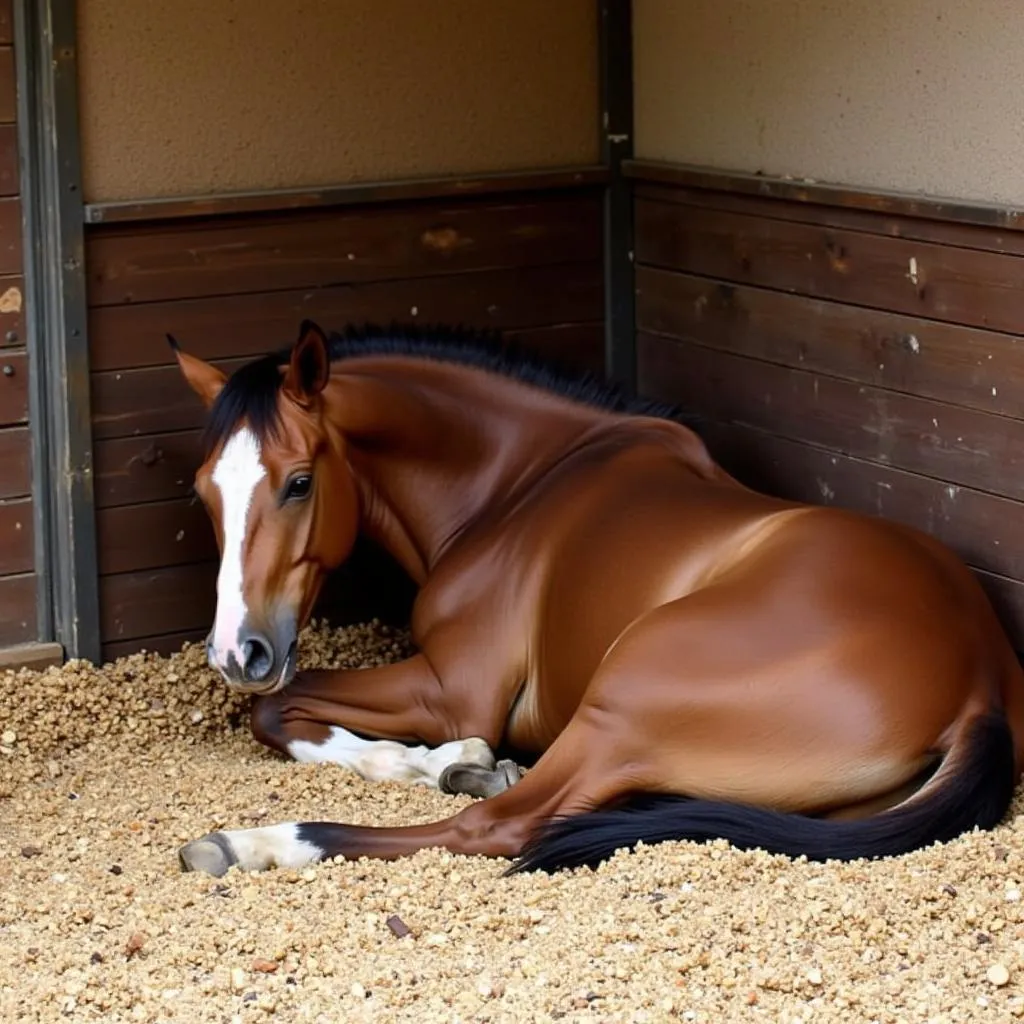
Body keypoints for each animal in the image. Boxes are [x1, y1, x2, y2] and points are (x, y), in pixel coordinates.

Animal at [169, 321, 1024, 880]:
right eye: (205, 488)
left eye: (299, 482)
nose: (237, 652)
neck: (520, 480)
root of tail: (980, 677)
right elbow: (286, 712)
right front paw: (447, 762)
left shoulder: (453, 689)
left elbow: (277, 710)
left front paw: (453, 759)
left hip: (624, 697)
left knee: (499, 827)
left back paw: (255, 843)